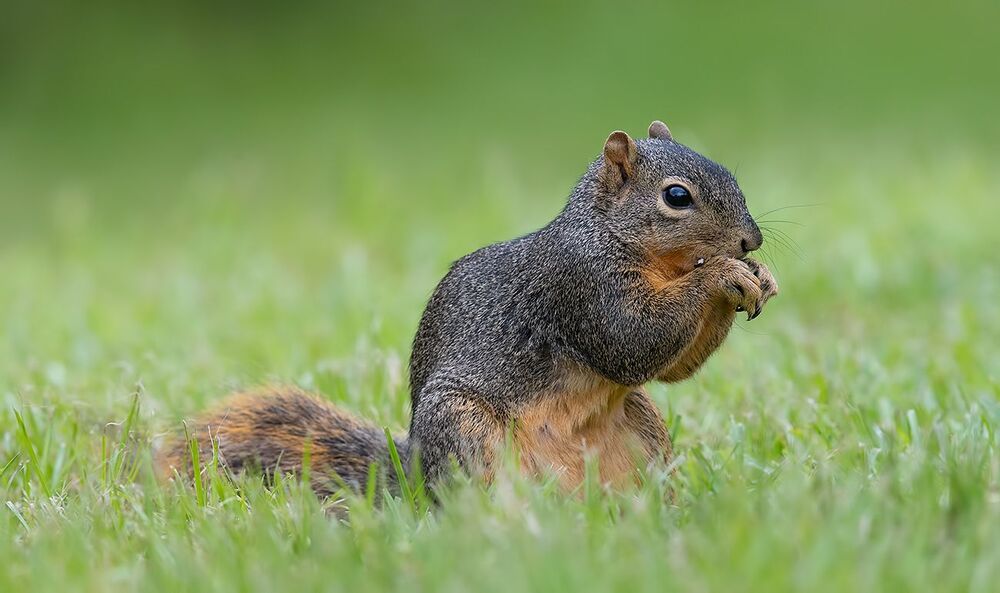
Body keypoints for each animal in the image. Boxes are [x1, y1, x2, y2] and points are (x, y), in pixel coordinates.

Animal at [158, 120, 778, 498]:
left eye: (731, 174)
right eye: (677, 196)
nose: (751, 240)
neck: (610, 234)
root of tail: (416, 482)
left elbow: (670, 366)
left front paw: (758, 279)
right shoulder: (581, 286)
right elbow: (632, 340)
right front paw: (724, 275)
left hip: (639, 425)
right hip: (464, 430)